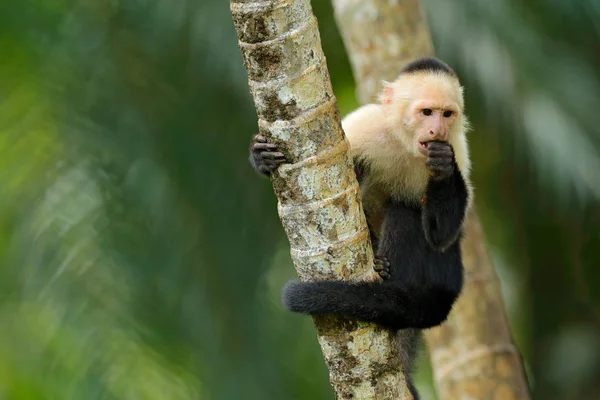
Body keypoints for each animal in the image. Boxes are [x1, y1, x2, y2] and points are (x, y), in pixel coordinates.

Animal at [248, 57, 474, 400]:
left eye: (447, 114)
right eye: (427, 112)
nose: (438, 129)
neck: (406, 146)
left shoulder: (458, 147)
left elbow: (442, 236)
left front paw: (443, 168)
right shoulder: (367, 125)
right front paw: (261, 157)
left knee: (407, 212)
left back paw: (387, 277)